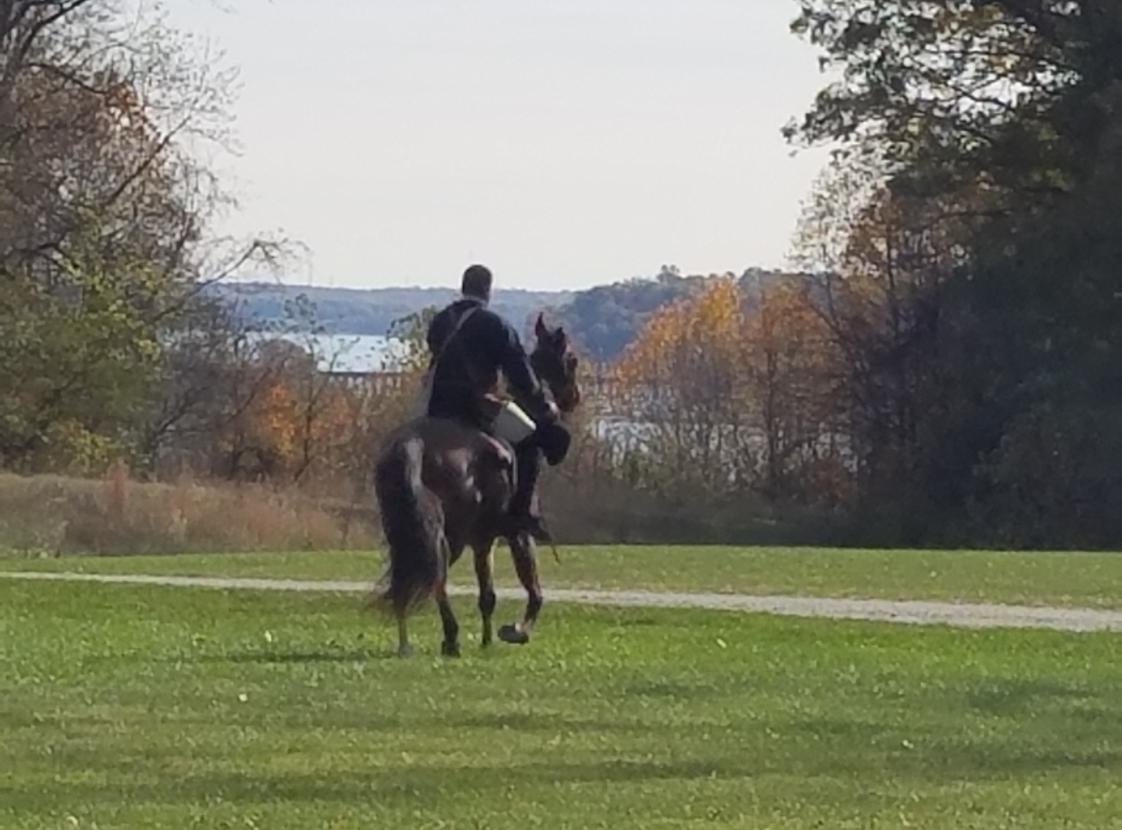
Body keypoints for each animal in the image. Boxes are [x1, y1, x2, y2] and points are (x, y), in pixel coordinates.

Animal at [374, 314, 583, 659]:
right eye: (571, 359)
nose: (572, 398)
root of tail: (413, 444)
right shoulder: (510, 535)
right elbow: (531, 591)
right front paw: (515, 631)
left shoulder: (484, 539)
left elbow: (487, 595)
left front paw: (486, 639)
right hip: (453, 534)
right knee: (435, 577)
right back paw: (450, 636)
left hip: (410, 531)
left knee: (411, 575)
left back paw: (408, 640)